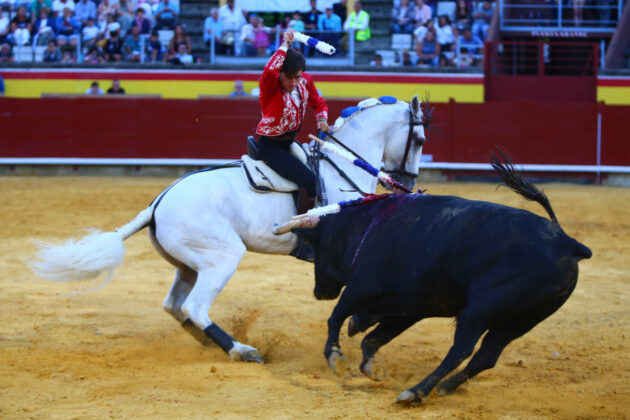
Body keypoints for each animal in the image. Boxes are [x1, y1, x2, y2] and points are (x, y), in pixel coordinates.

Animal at [30, 94, 430, 360]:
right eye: (420, 139)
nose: (407, 181)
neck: (340, 168)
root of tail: (158, 204)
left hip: (191, 264)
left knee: (174, 304)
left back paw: (208, 342)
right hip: (222, 257)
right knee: (195, 307)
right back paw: (241, 349)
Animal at [294, 158, 596, 404]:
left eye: (315, 247)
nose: (319, 292)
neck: (366, 227)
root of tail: (568, 244)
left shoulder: (363, 286)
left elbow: (337, 316)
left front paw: (335, 356)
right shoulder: (411, 308)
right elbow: (373, 337)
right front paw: (371, 367)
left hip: (480, 311)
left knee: (461, 350)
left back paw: (415, 392)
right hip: (520, 321)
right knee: (486, 356)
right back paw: (446, 387)